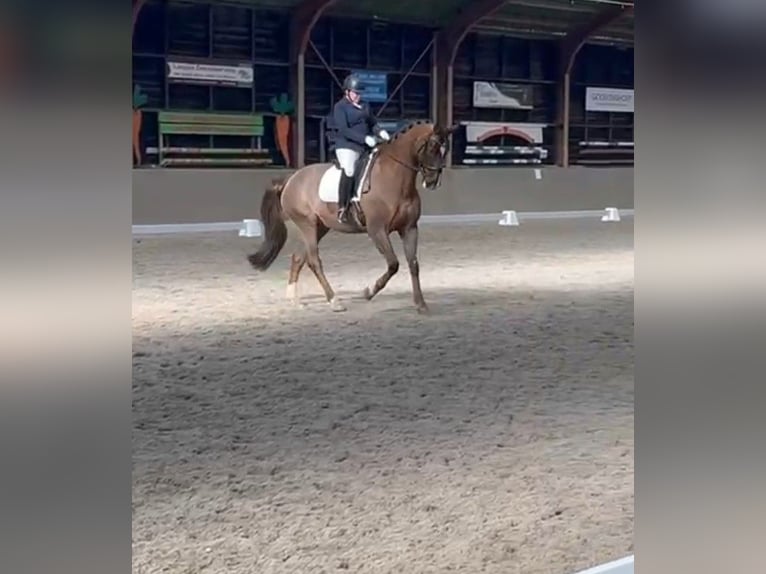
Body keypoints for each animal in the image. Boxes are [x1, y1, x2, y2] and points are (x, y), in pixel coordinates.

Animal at [246, 120, 457, 314]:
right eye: (433, 145)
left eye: (445, 149)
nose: (433, 182)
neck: (395, 177)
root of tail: (290, 179)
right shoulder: (377, 230)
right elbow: (393, 264)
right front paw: (368, 292)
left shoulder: (409, 228)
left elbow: (413, 265)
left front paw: (421, 304)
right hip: (307, 224)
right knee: (314, 261)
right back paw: (334, 301)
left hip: (320, 227)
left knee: (299, 257)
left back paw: (294, 300)